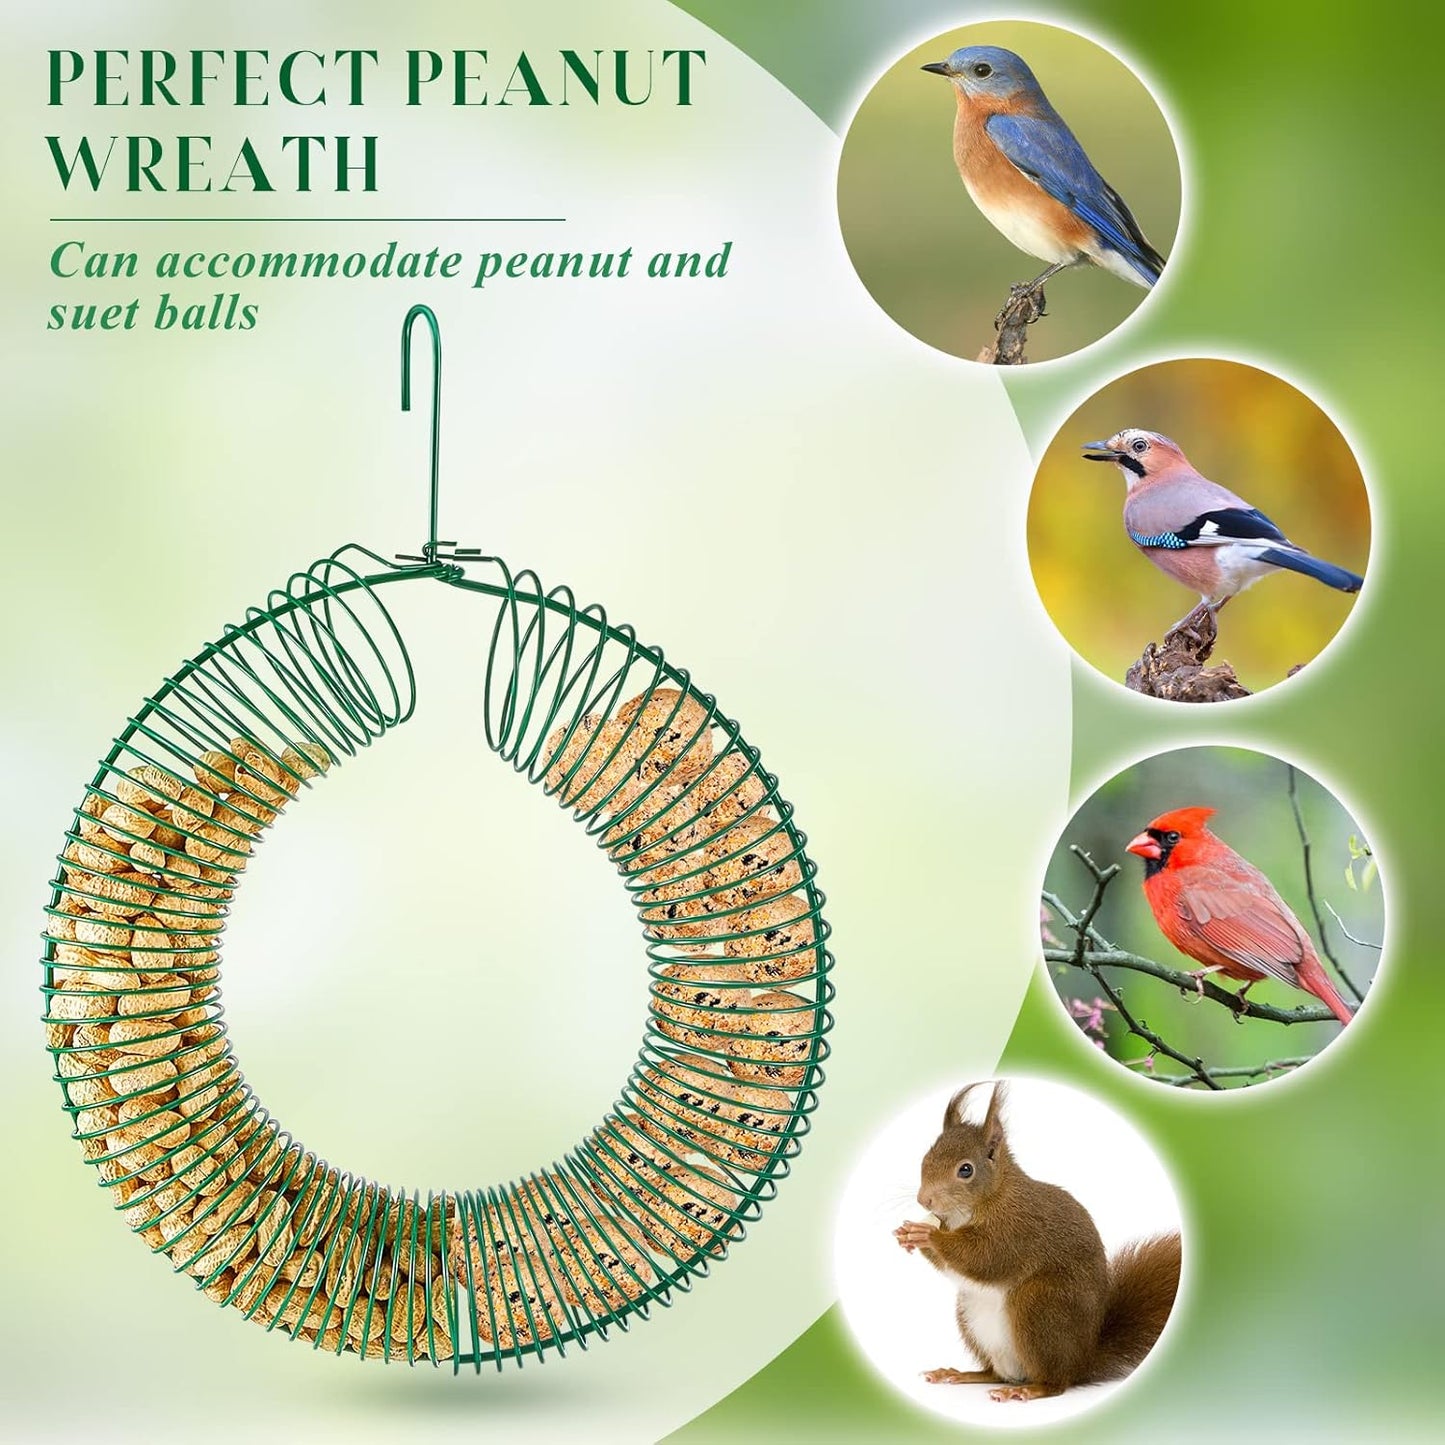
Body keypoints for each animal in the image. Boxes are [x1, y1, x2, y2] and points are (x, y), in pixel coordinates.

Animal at [893, 1081, 1181, 1403]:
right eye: (925, 1159)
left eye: (965, 1169)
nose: (924, 1200)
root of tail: (1082, 1361)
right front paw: (908, 1234)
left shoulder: (1017, 1229)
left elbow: (984, 1257)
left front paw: (928, 1235)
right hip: (971, 1315)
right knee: (994, 1373)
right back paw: (961, 1374)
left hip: (1038, 1306)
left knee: (1055, 1384)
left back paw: (1027, 1390)